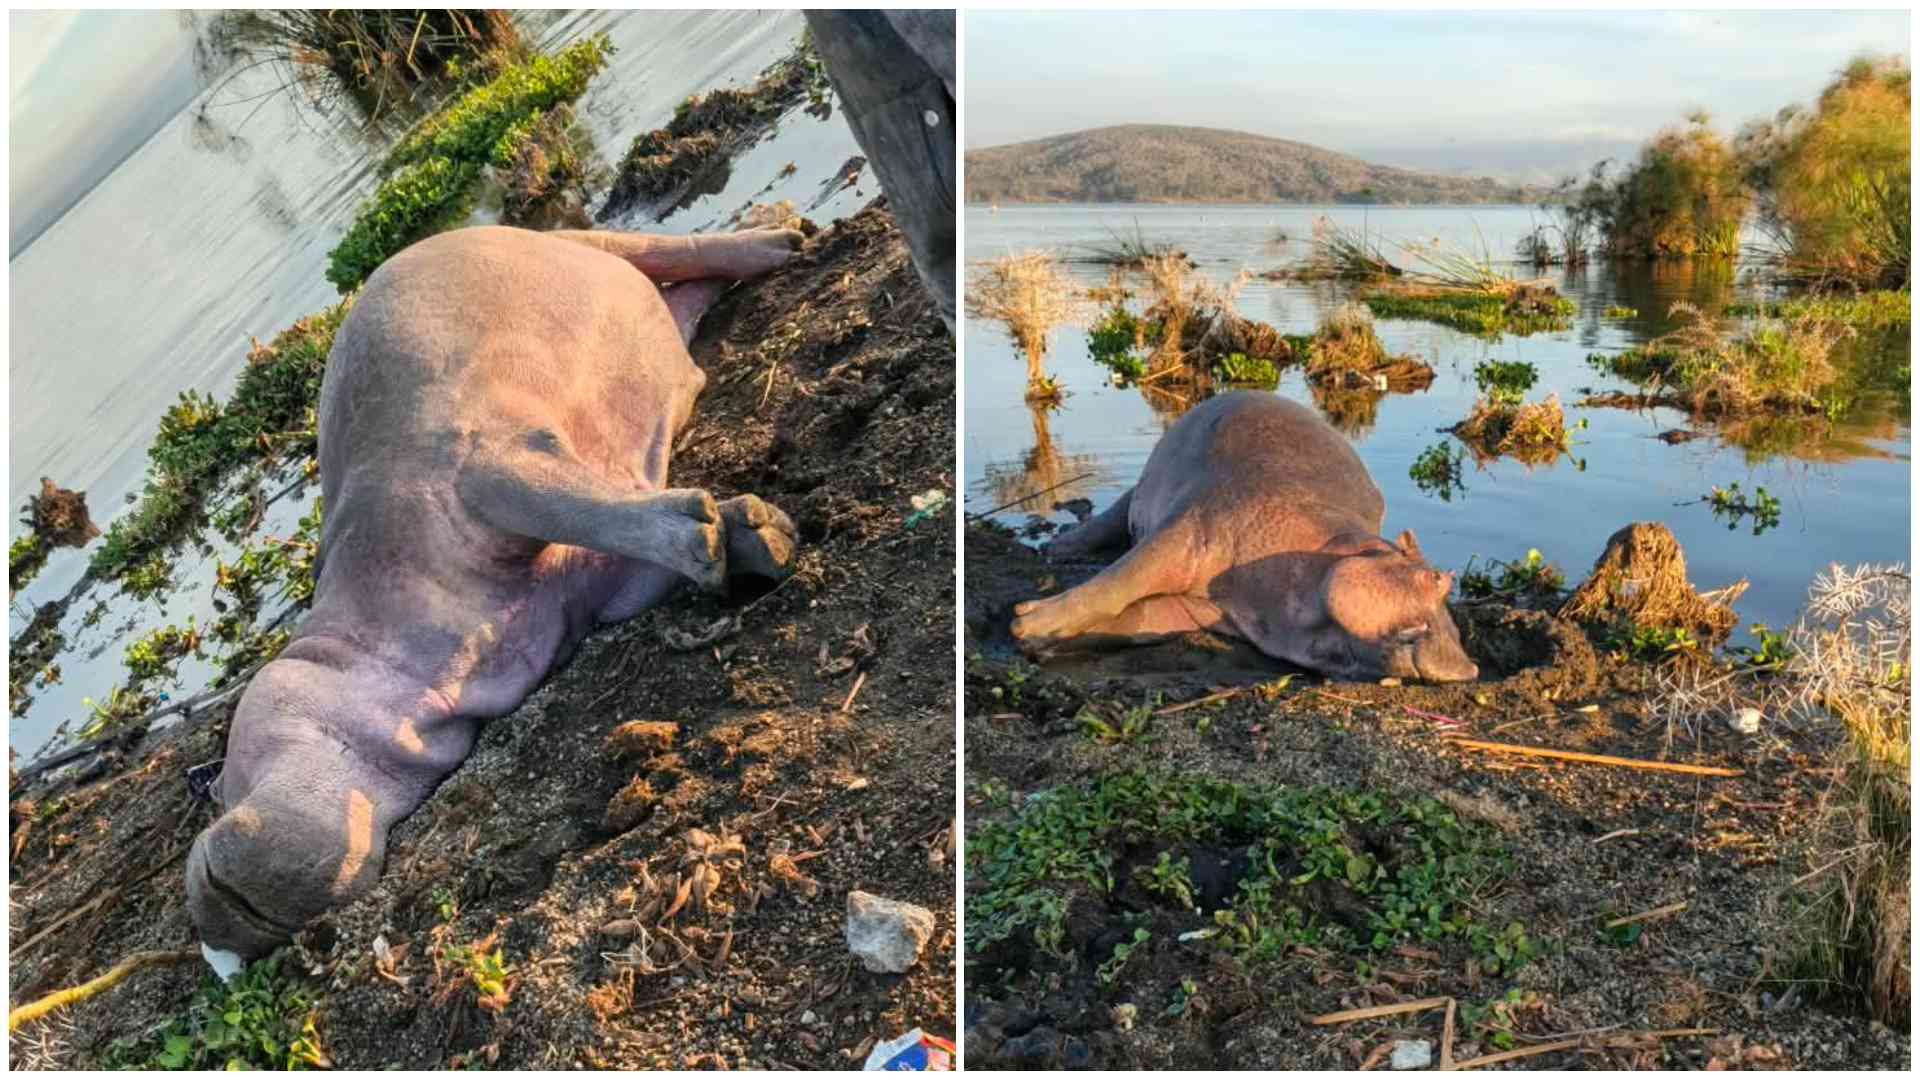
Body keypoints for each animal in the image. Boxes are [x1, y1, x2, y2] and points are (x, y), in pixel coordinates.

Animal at [186, 225, 803, 962]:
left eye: (215, 785)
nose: (212, 932)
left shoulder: (479, 468)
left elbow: (557, 497)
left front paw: (715, 537)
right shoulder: (590, 588)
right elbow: (612, 528)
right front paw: (752, 533)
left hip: (573, 248)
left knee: (663, 245)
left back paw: (786, 239)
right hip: (645, 313)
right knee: (679, 292)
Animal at [1010, 391, 1478, 683]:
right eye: (1436, 577)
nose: (1469, 667)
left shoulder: (1206, 610)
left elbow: (1140, 618)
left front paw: (1036, 641)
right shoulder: (1190, 529)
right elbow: (1120, 581)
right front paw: (1022, 622)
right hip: (1142, 492)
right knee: (1114, 517)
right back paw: (1056, 551)